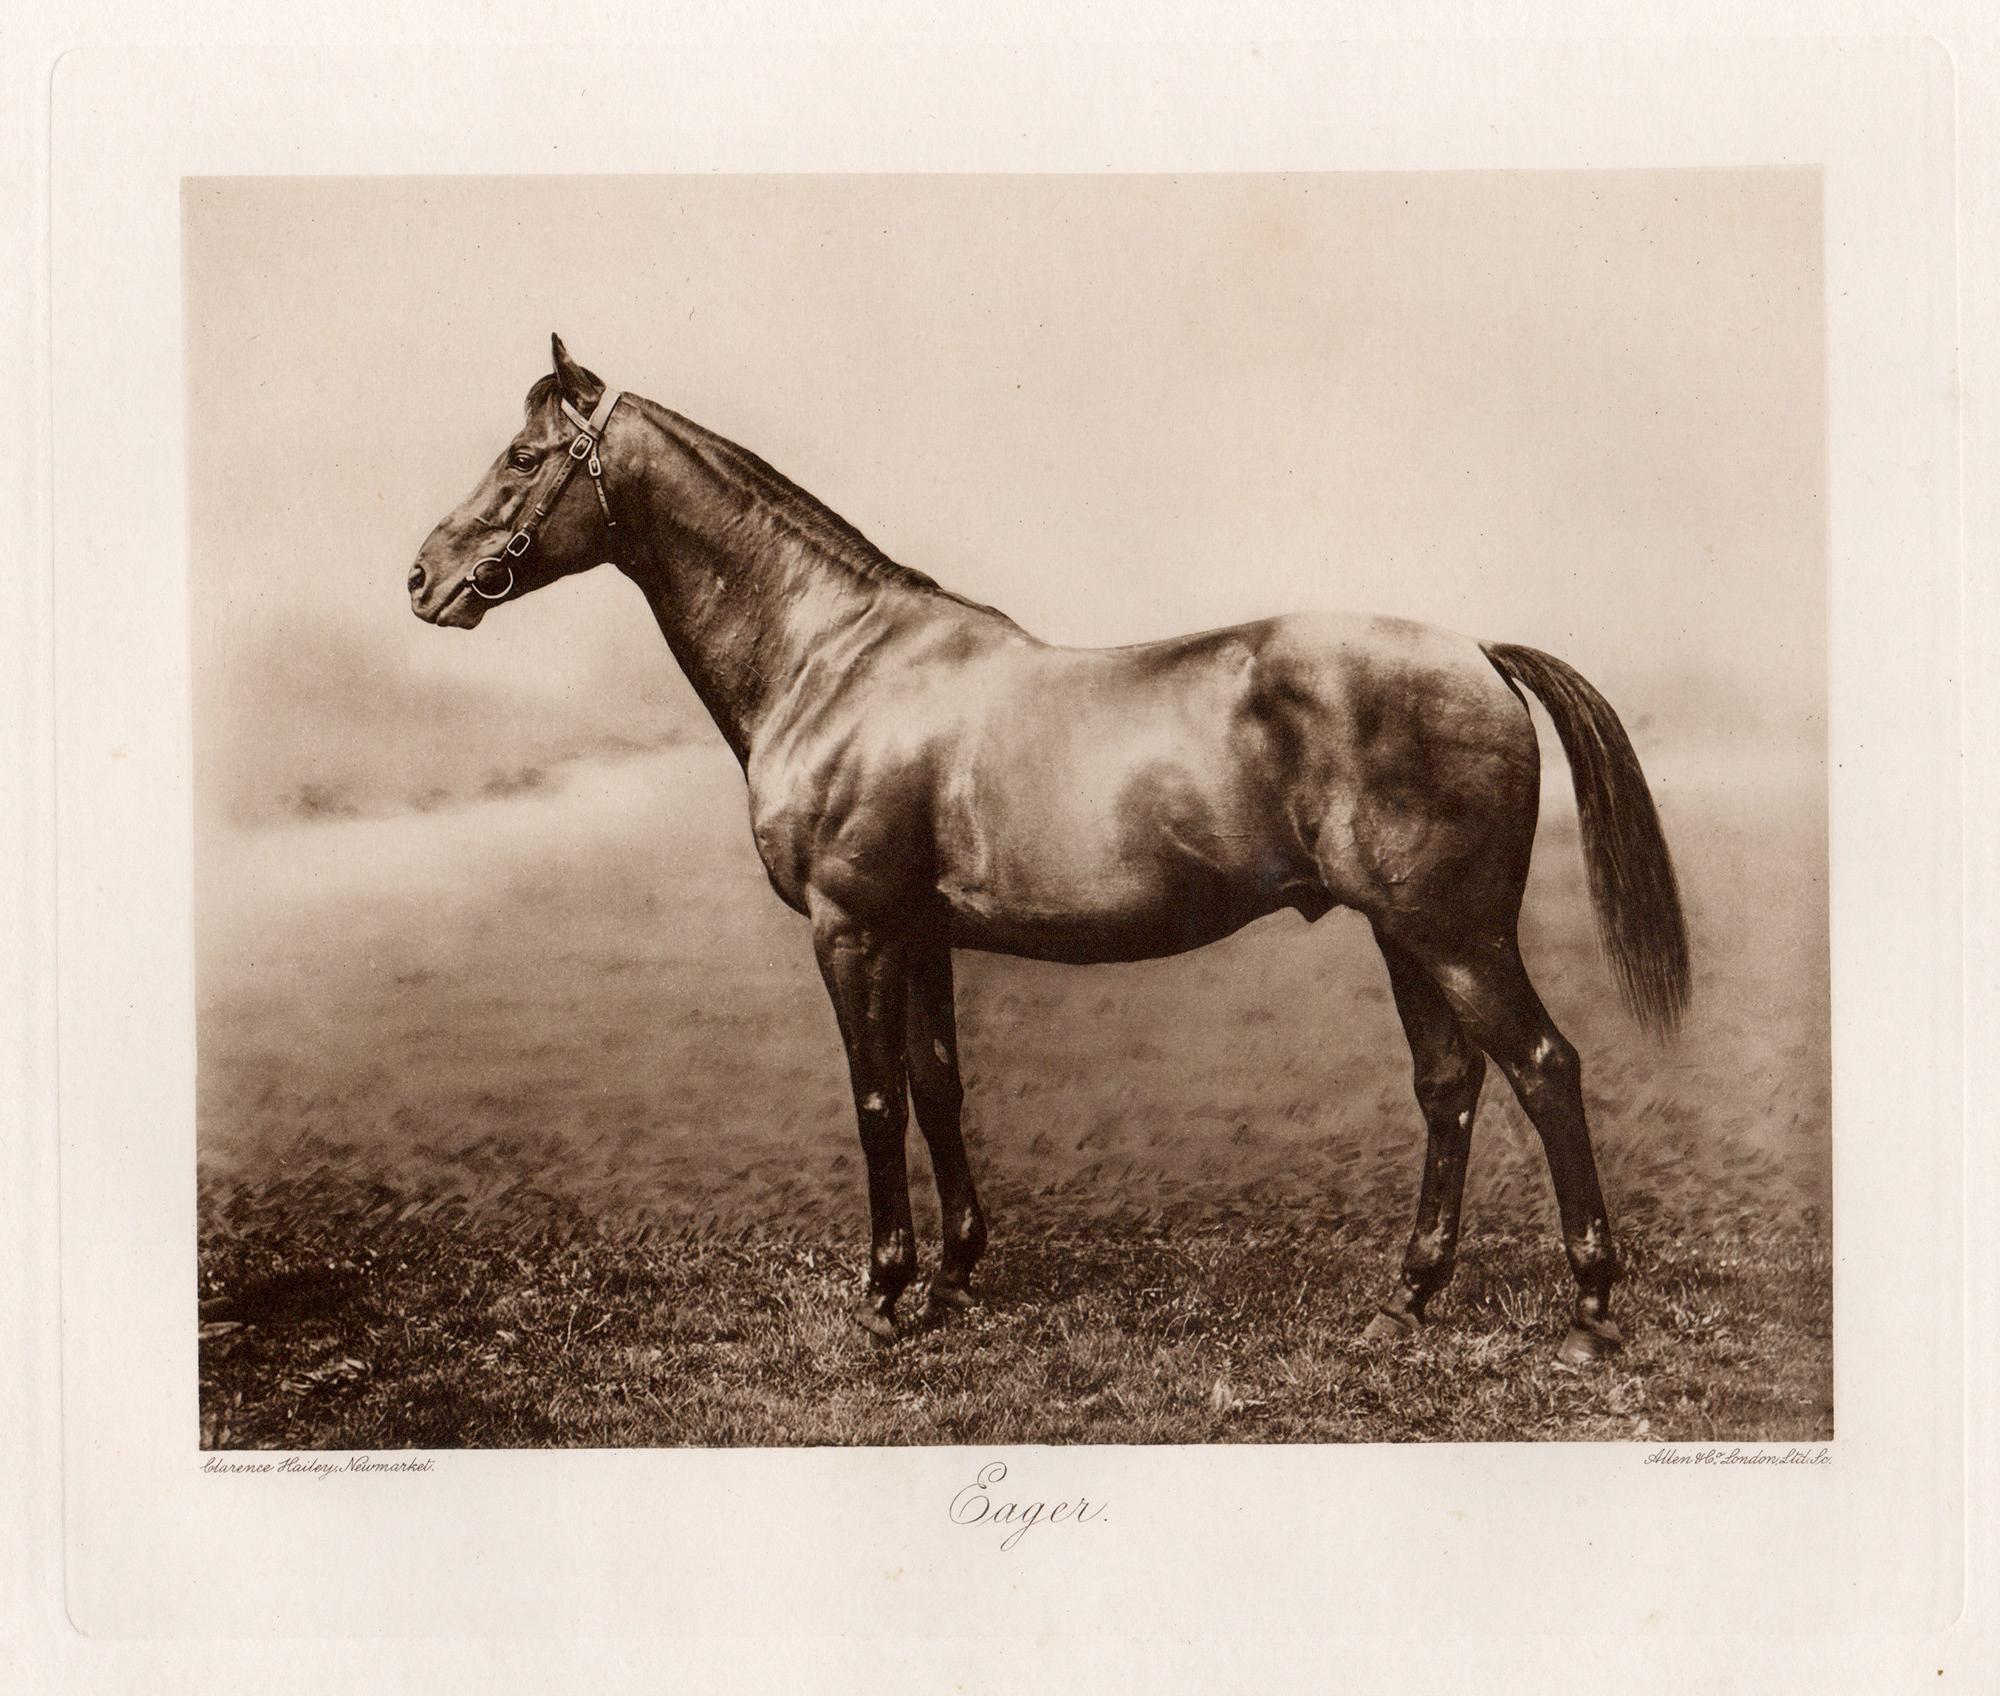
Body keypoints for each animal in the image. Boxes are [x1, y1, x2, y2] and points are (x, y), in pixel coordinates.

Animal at [408, 336, 1690, 1366]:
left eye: (522, 456)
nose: (424, 579)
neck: (836, 661)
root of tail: (1476, 652)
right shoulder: (917, 933)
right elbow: (936, 1087)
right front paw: (955, 1276)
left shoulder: (850, 928)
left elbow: (873, 1098)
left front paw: (885, 1294)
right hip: (1402, 934)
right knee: (1448, 1086)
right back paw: (1405, 1300)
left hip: (1454, 932)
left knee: (1542, 1068)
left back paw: (1586, 1313)